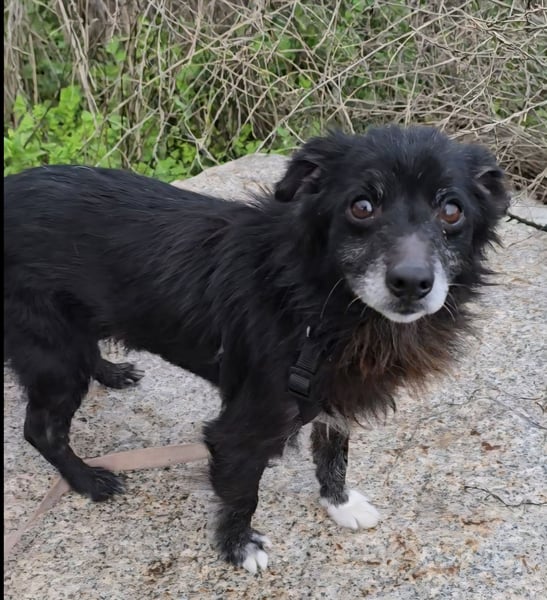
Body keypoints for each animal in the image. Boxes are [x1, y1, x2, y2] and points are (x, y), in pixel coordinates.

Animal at [4, 126, 509, 572]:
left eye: (452, 212)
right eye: (362, 206)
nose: (411, 283)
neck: (319, 300)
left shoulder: (331, 399)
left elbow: (334, 454)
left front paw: (340, 503)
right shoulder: (241, 429)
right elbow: (243, 493)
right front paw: (239, 547)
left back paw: (110, 371)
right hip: (52, 354)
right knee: (40, 430)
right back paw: (87, 480)